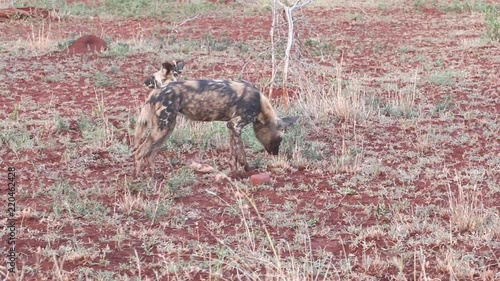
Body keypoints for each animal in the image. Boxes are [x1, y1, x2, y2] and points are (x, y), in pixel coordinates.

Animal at [131, 77, 298, 176]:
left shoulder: (232, 127)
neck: (260, 103)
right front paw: (246, 170)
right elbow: (241, 153)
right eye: (279, 140)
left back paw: (154, 175)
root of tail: (156, 91)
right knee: (139, 152)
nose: (275, 154)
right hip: (162, 129)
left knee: (150, 154)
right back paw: (139, 178)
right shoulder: (235, 125)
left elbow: (233, 154)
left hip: (167, 129)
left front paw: (234, 173)